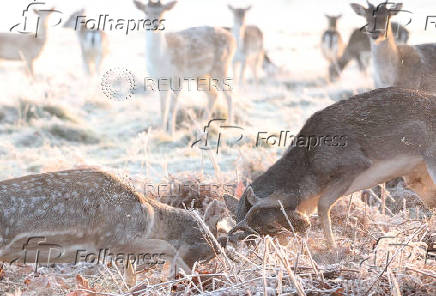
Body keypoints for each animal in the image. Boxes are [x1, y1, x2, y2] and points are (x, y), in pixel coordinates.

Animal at [134, 0, 237, 135]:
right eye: (146, 11)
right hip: (202, 75)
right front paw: (162, 132)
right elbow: (163, 108)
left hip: (221, 66)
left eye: (163, 12)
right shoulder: (160, 80)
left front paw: (171, 134)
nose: (155, 26)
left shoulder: (177, 77)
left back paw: (230, 124)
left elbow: (172, 108)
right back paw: (204, 124)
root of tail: (233, 39)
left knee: (229, 94)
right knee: (213, 94)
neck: (161, 59)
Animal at [225, 88, 436, 250]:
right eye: (259, 232)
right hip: (417, 177)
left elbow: (323, 205)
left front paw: (333, 248)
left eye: (269, 225)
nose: (304, 225)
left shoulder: (355, 164)